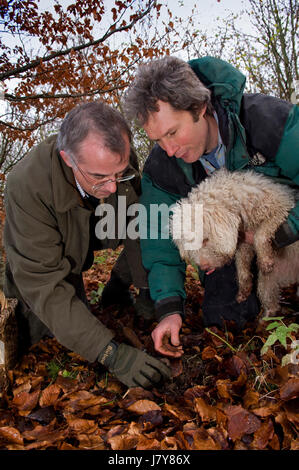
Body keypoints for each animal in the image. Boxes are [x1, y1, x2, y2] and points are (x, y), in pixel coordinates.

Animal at [171, 167, 299, 318]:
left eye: (205, 239)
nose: (203, 267)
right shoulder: (243, 243)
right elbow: (241, 265)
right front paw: (243, 292)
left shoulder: (281, 207)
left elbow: (260, 234)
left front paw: (265, 261)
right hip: (267, 281)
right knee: (271, 302)